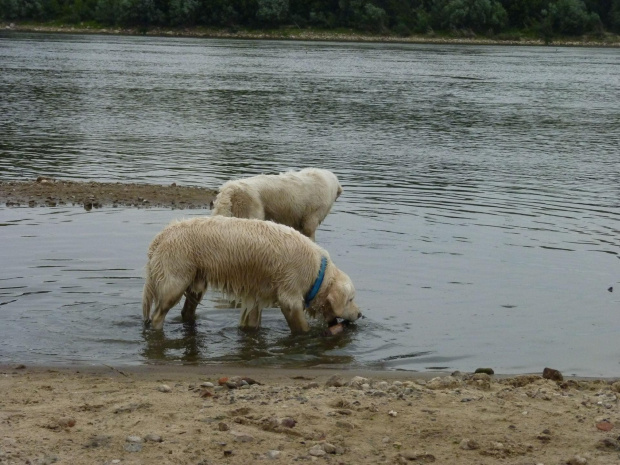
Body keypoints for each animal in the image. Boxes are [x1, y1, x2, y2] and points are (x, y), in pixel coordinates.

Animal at [142, 216, 360, 332]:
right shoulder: (290, 293)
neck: (316, 272)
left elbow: (252, 318)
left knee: (187, 309)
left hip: (197, 280)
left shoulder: (257, 294)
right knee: (158, 314)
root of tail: (161, 235)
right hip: (175, 279)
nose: (360, 314)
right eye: (350, 299)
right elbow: (300, 325)